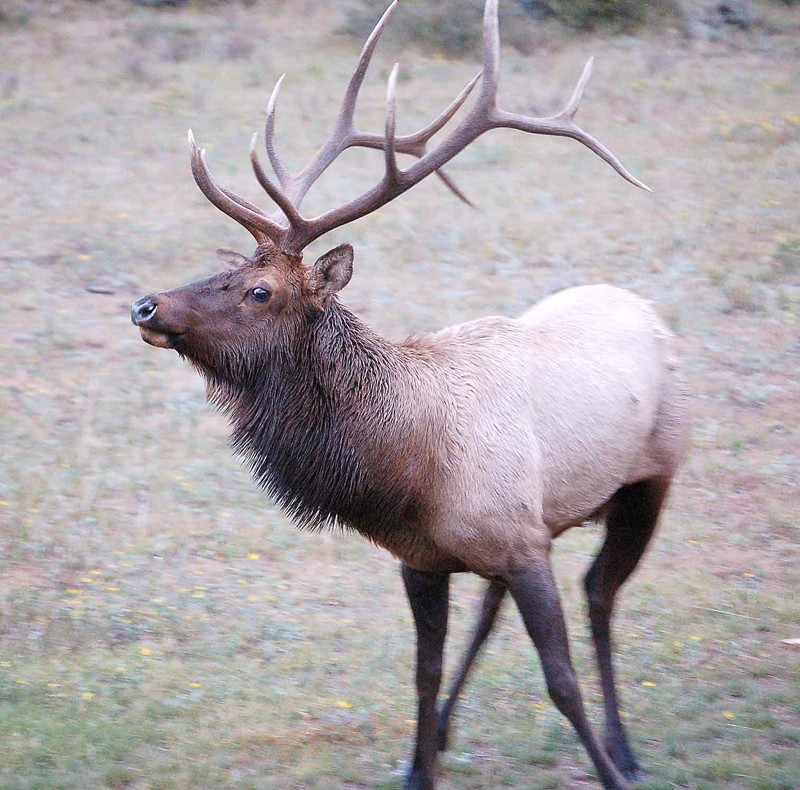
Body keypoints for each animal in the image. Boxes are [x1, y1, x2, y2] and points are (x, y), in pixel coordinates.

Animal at [130, 3, 688, 788]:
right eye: (229, 267)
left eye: (259, 290)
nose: (146, 305)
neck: (410, 470)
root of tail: (642, 306)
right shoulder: (427, 556)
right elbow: (422, 674)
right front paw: (418, 766)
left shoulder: (522, 545)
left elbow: (561, 681)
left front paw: (604, 768)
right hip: (544, 516)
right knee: (497, 610)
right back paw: (460, 730)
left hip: (651, 477)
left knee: (600, 595)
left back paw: (625, 750)